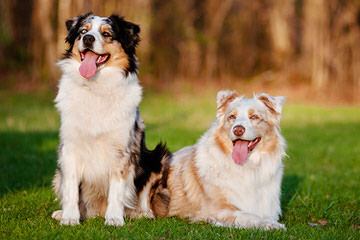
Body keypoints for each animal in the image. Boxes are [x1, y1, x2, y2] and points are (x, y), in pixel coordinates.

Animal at [51, 12, 170, 227]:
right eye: (82, 31)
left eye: (106, 34)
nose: (88, 39)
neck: (96, 88)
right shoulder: (69, 149)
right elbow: (71, 188)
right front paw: (69, 218)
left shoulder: (122, 151)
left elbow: (117, 188)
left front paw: (114, 218)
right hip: (58, 172)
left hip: (158, 157)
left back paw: (141, 214)